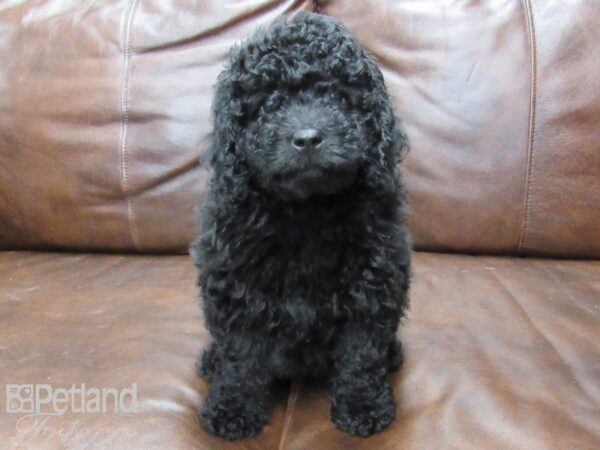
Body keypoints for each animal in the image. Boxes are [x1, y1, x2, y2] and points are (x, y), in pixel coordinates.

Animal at [191, 12, 408, 442]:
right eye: (269, 104)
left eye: (338, 97)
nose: (307, 138)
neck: (307, 210)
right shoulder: (234, 286)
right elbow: (240, 355)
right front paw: (232, 408)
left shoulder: (374, 286)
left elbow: (362, 354)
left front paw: (363, 407)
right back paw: (212, 362)